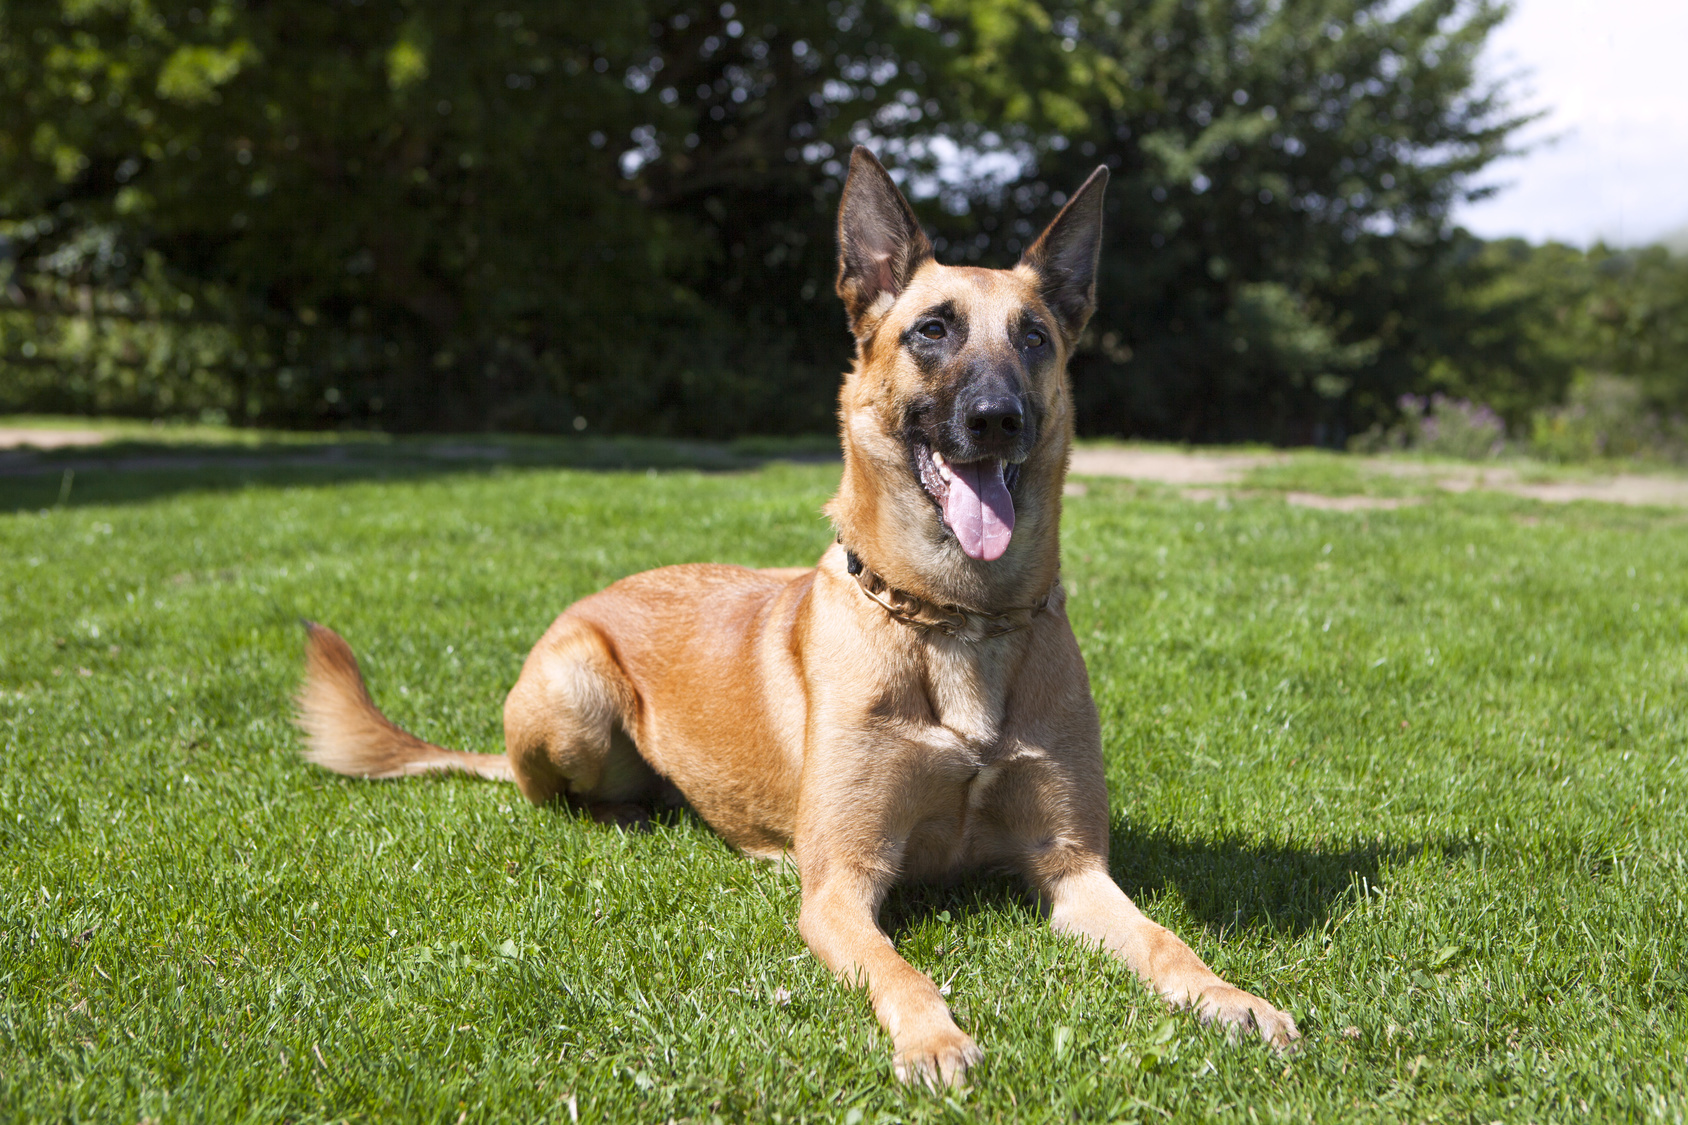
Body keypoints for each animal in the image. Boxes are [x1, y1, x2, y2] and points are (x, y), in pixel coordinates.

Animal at [300, 144, 1303, 1081]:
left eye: (1034, 337)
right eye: (931, 330)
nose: (997, 418)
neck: (953, 618)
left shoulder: (1073, 868)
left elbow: (1165, 938)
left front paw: (1230, 995)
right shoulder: (840, 888)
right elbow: (900, 968)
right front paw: (934, 1036)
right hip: (575, 700)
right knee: (556, 795)